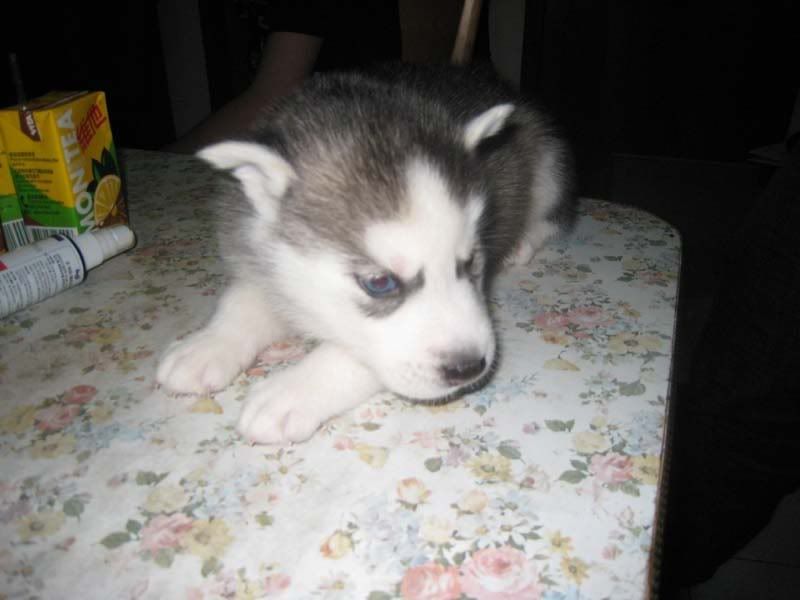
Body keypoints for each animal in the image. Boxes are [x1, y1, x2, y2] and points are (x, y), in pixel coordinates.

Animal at [157, 63, 576, 444]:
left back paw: (525, 240)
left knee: (555, 214)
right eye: (379, 283)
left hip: (548, 161)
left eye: (471, 261)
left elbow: (356, 354)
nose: (469, 367)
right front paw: (207, 345)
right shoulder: (250, 242)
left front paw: (292, 391)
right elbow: (241, 299)